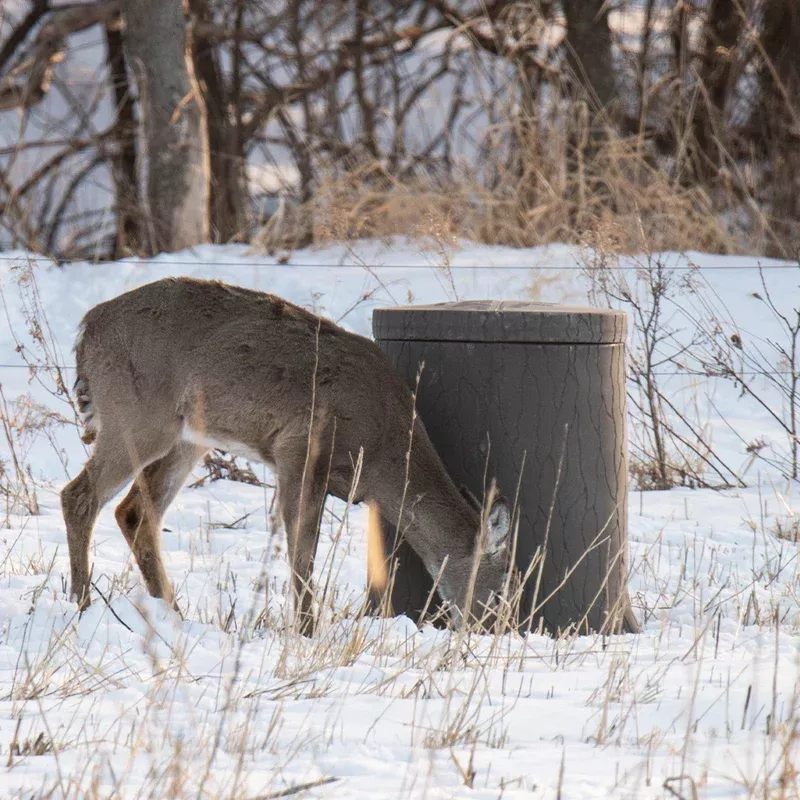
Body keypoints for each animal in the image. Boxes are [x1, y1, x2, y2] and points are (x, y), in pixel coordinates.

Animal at [61, 277, 512, 635]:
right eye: (504, 586)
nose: (493, 630)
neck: (384, 446)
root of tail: (86, 328)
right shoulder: (299, 449)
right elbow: (302, 555)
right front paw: (307, 632)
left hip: (189, 437)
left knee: (135, 512)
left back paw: (173, 614)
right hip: (138, 418)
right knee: (79, 496)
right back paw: (81, 604)